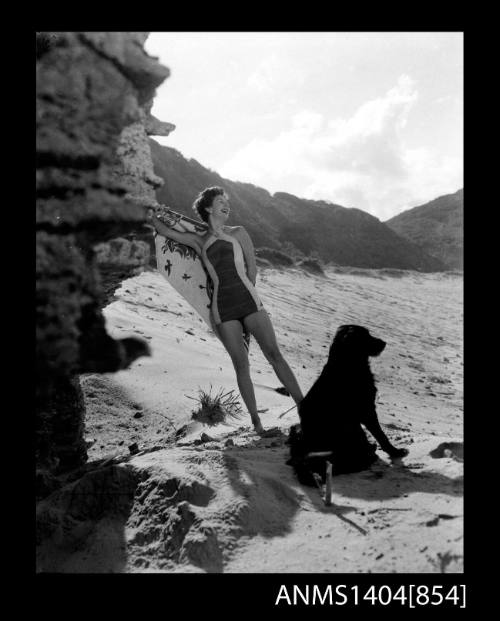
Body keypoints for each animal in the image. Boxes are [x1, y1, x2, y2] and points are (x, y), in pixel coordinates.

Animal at [288, 324, 408, 484]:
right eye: (365, 336)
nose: (384, 343)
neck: (347, 365)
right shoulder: (367, 410)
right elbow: (381, 434)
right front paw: (395, 452)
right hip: (352, 428)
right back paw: (370, 453)